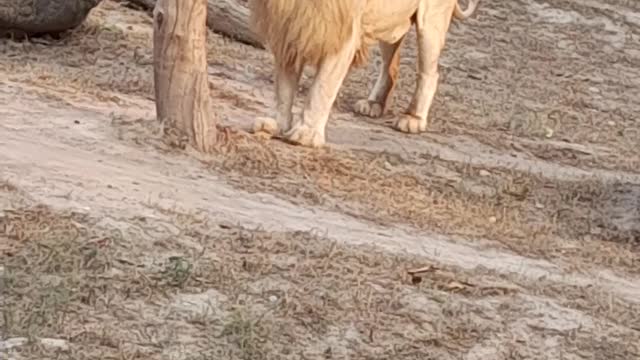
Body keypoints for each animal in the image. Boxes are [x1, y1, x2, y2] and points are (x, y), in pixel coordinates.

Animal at [250, 0, 480, 147]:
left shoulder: (343, 34)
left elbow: (321, 89)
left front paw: (306, 134)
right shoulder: (288, 26)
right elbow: (284, 89)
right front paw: (278, 125)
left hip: (431, 21)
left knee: (429, 74)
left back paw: (413, 118)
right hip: (389, 21)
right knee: (390, 66)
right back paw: (373, 104)